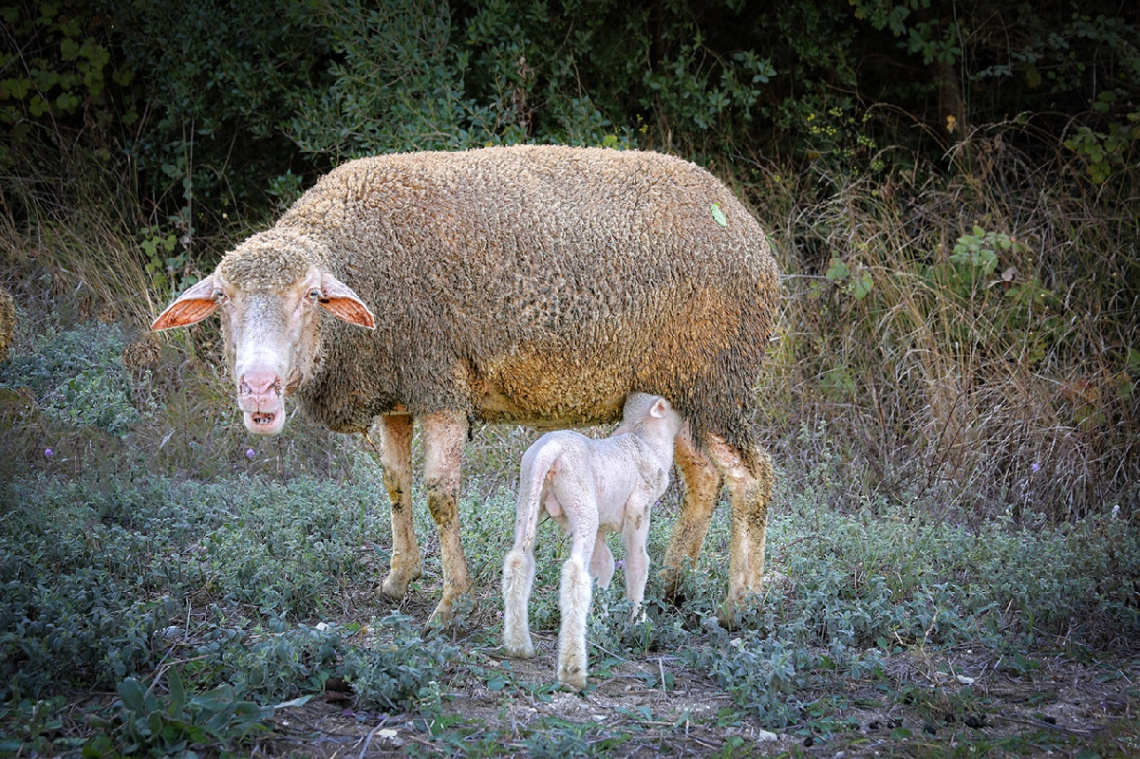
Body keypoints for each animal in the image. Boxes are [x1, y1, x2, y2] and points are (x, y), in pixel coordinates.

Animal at [151, 144, 779, 624]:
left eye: (310, 296)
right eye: (223, 298)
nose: (258, 387)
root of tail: (746, 224)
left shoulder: (439, 386)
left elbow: (439, 495)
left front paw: (452, 602)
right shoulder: (397, 394)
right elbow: (395, 487)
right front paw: (397, 579)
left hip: (721, 379)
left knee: (752, 481)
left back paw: (739, 604)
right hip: (678, 391)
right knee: (704, 480)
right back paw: (673, 583)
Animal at [503, 392, 679, 688]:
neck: (647, 442)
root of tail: (551, 448)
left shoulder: (602, 529)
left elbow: (604, 567)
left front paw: (601, 620)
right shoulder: (639, 509)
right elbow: (638, 563)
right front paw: (637, 623)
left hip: (528, 495)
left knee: (518, 558)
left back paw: (518, 646)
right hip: (581, 503)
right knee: (575, 572)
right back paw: (573, 669)